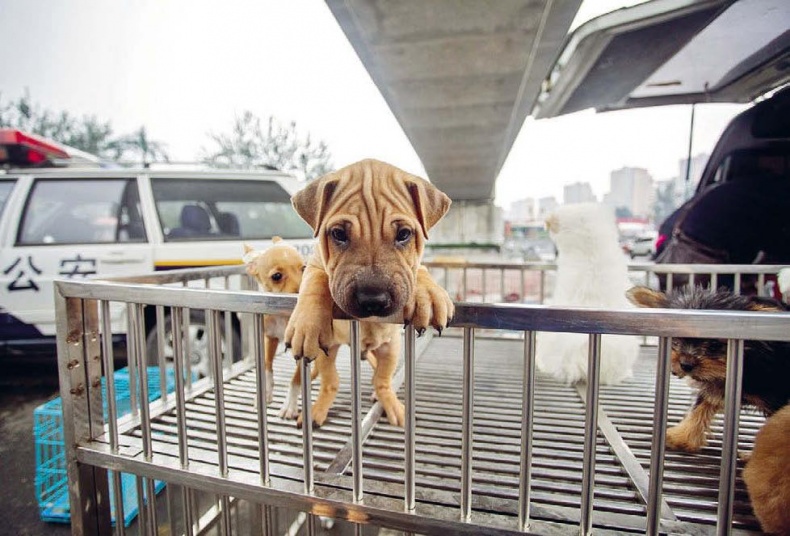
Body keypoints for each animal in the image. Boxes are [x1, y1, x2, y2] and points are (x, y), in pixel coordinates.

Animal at [288, 159, 454, 428]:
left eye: (404, 234)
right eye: (338, 234)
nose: (373, 301)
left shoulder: (412, 267)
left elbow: (418, 271)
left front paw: (428, 294)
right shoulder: (315, 262)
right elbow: (316, 280)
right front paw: (307, 324)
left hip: (391, 347)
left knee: (382, 380)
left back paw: (389, 402)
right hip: (329, 350)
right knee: (331, 381)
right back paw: (317, 410)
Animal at [628, 284, 788, 452]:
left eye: (714, 345)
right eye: (676, 340)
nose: (686, 364)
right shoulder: (717, 383)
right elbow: (702, 406)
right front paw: (682, 436)